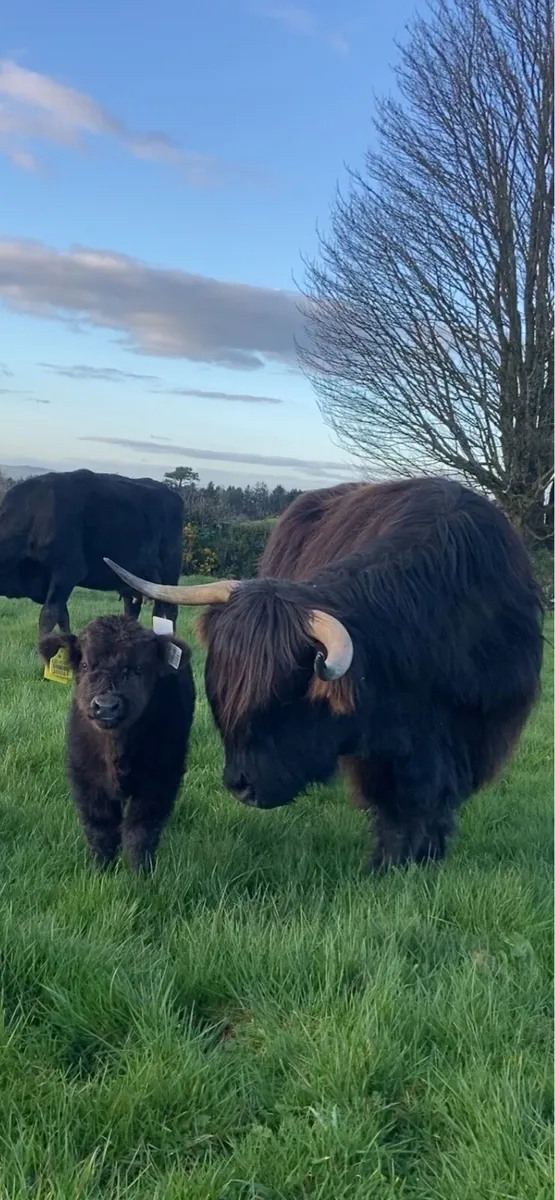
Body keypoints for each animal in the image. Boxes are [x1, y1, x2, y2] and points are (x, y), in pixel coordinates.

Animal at [0, 469, 184, 634]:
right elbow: (63, 617)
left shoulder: (67, 572)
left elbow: (48, 616)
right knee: (134, 609)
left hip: (168, 574)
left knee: (169, 611)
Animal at [38, 614, 195, 872]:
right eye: (85, 665)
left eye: (138, 668)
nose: (106, 706)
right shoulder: (86, 779)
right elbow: (101, 829)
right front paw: (101, 869)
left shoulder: (159, 780)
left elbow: (140, 831)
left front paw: (140, 873)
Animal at [104, 477, 544, 873]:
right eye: (221, 689)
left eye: (284, 696)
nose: (240, 786)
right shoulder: (383, 745)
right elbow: (395, 805)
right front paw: (388, 864)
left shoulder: (474, 731)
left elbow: (433, 800)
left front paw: (423, 859)